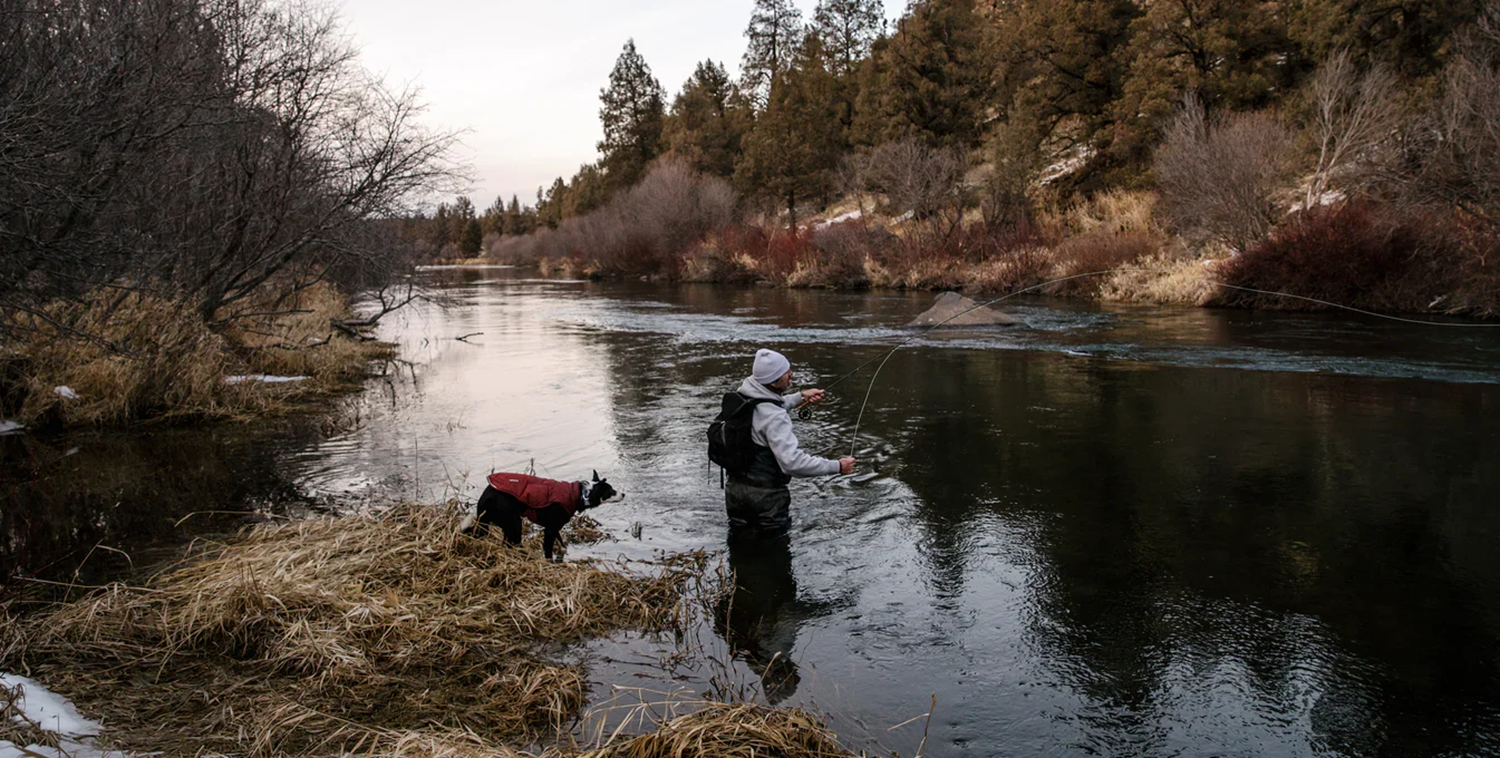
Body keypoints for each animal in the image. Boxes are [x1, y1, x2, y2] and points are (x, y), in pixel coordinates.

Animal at [456, 471, 621, 558]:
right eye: (611, 491)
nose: (624, 494)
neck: (581, 494)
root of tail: (483, 501)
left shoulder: (554, 527)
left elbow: (561, 542)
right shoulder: (550, 528)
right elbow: (548, 548)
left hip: (507, 524)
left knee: (508, 544)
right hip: (515, 522)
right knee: (515, 543)